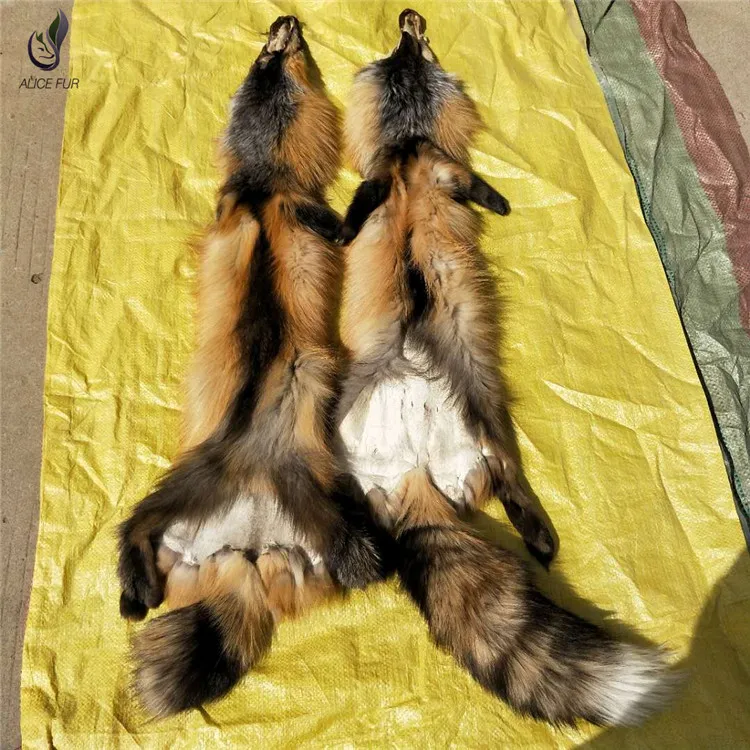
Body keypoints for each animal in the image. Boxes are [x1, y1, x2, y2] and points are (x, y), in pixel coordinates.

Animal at [117, 16, 387, 718]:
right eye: (269, 59)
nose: (284, 22)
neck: (266, 185)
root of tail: (246, 549)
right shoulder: (294, 209)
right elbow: (343, 222)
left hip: (286, 498)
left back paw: (136, 590)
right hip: (205, 483)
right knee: (132, 525)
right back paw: (132, 586)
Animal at [336, 9, 681, 726]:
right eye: (395, 56)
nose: (409, 18)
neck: (408, 147)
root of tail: (406, 474)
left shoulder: (433, 170)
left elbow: (461, 188)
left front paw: (496, 204)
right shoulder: (400, 174)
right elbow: (370, 202)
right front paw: (345, 229)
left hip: (483, 405)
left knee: (509, 479)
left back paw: (537, 536)